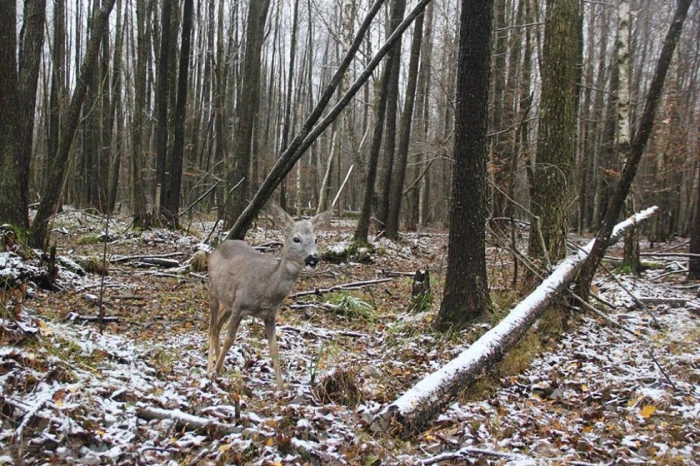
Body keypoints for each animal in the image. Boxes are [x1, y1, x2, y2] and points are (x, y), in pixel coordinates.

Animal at [208, 204, 330, 390]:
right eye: (296, 239)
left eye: (316, 239)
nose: (314, 258)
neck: (267, 287)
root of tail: (218, 247)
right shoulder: (239, 306)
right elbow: (229, 340)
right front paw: (214, 374)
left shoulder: (270, 315)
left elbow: (274, 348)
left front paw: (281, 388)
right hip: (213, 292)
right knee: (212, 326)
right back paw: (210, 369)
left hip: (228, 301)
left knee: (217, 326)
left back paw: (220, 367)